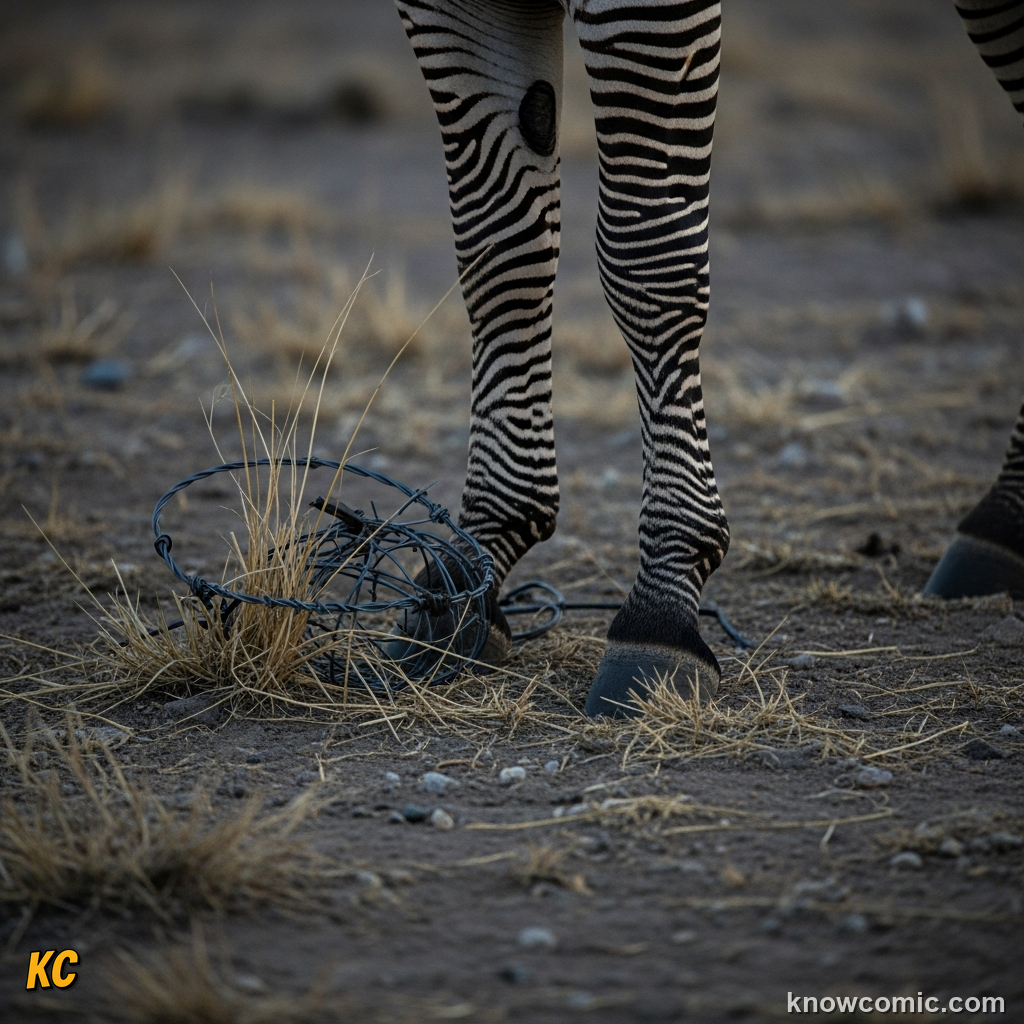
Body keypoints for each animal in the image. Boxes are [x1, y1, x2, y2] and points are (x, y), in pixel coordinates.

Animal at [392, 0, 1024, 716]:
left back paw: (1003, 516)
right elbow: (501, 251)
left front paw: (662, 606)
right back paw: (1006, 523)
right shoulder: (449, 9)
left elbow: (647, 251)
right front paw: (465, 580)